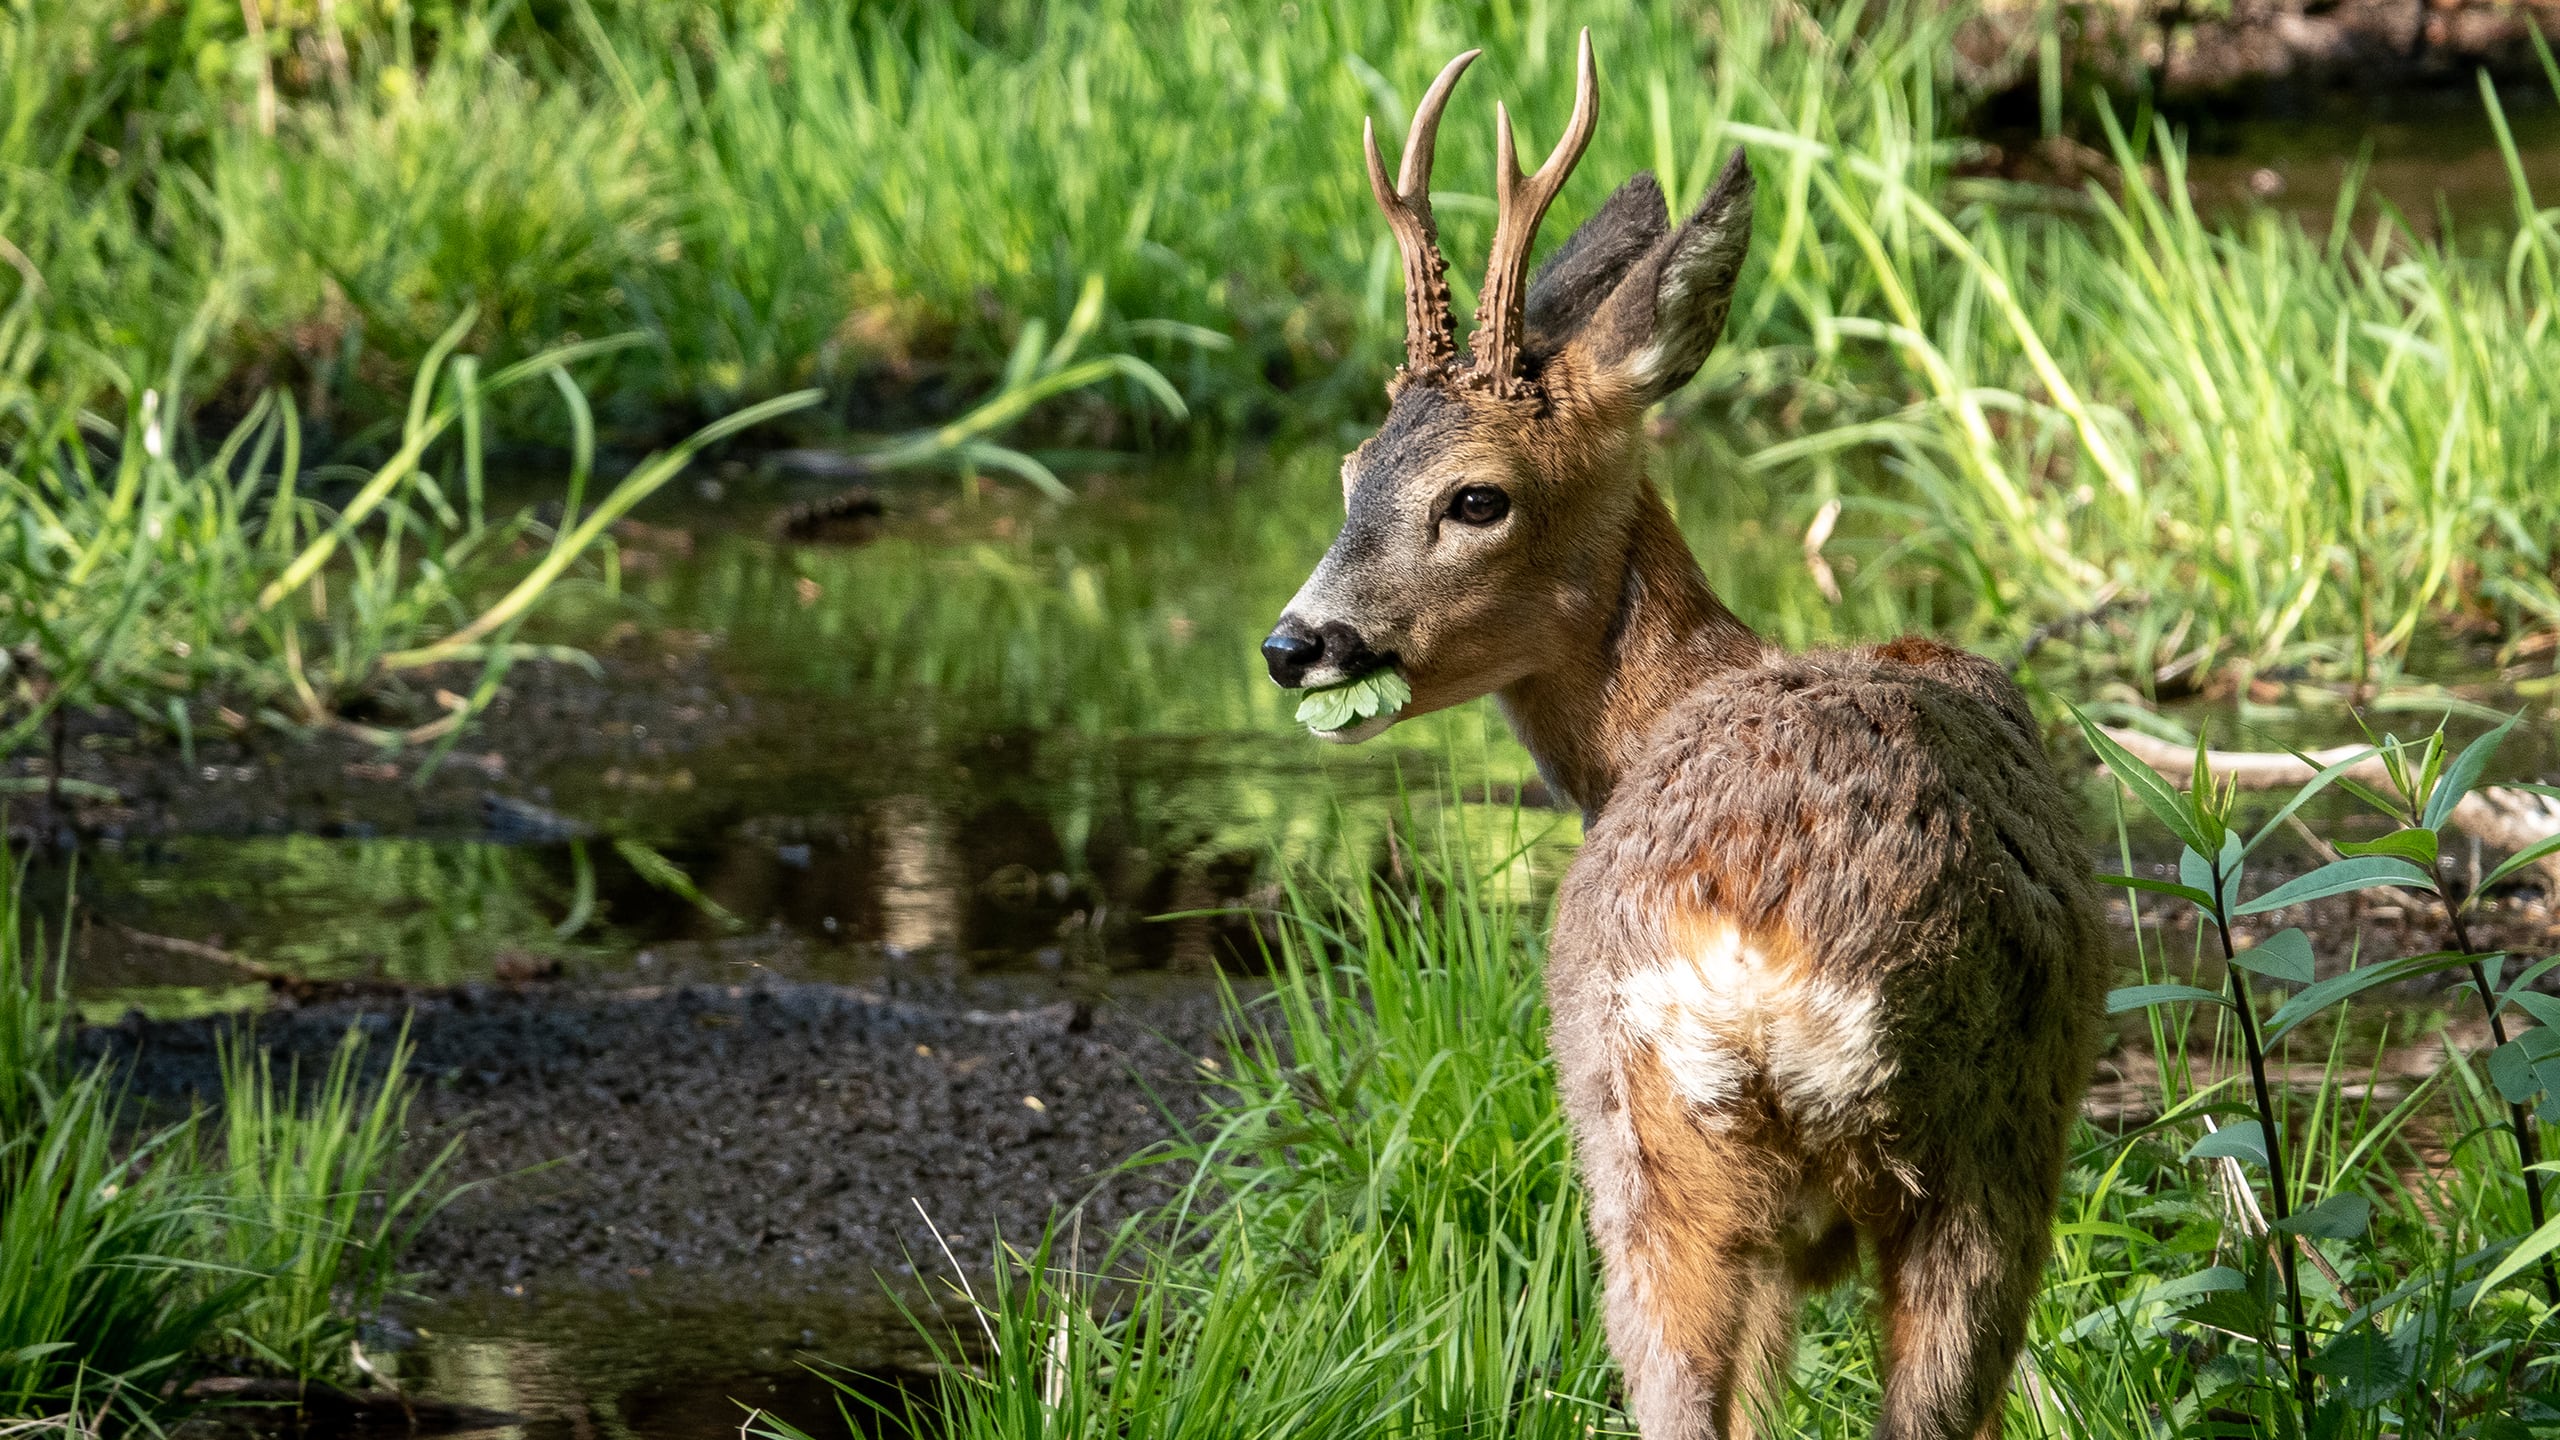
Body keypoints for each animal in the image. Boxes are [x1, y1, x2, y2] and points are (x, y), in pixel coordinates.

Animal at [1254, 33, 2099, 1434]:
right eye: (1347, 474)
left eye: (1473, 498)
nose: (1296, 645)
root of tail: (1757, 951)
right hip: (1953, 1153)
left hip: (1666, 1150)